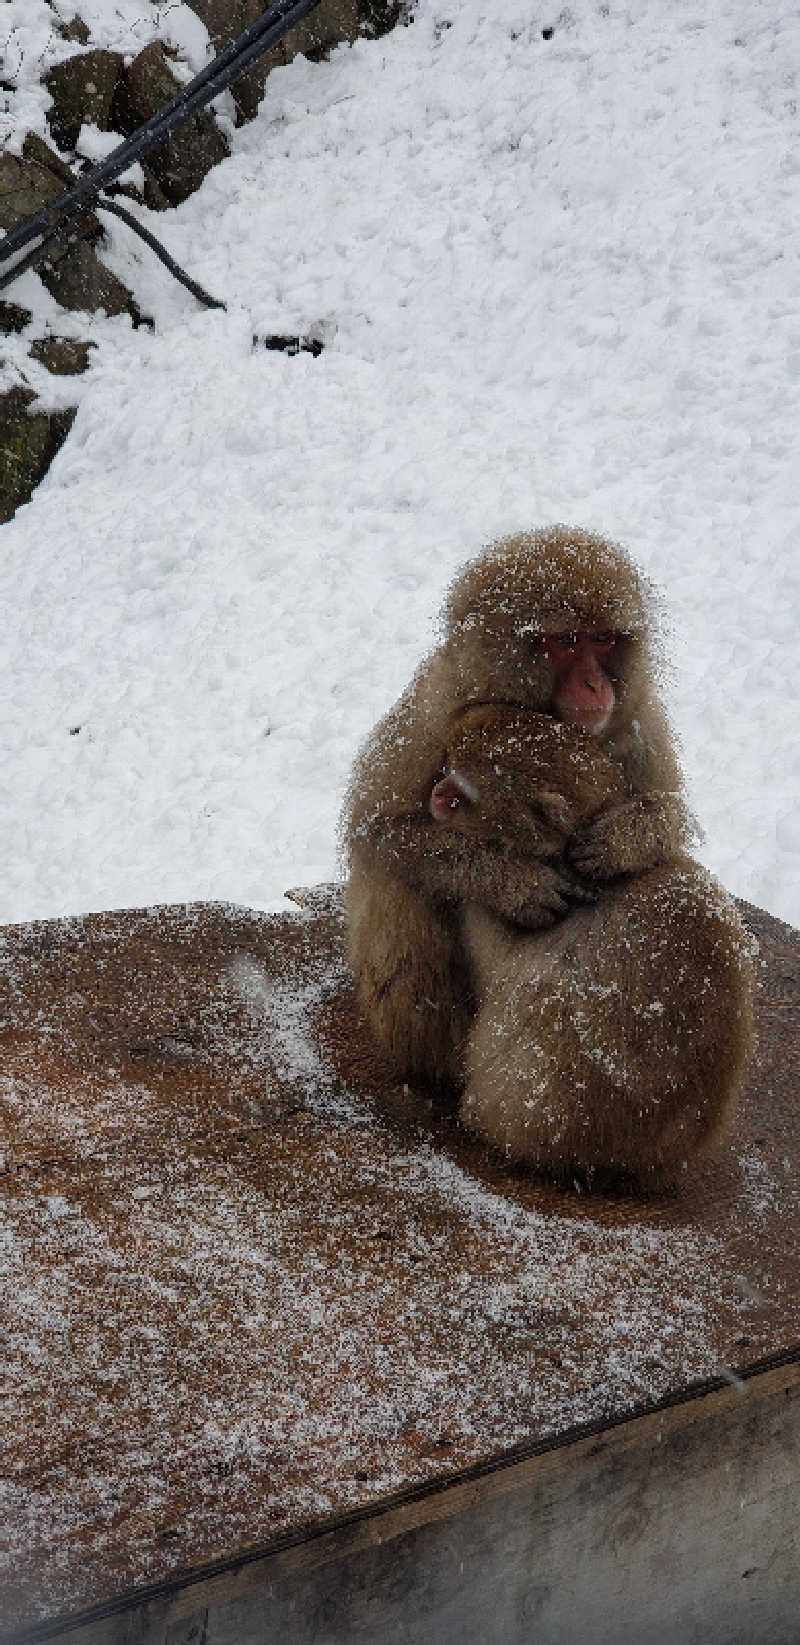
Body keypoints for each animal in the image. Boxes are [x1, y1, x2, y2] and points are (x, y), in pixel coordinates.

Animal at [342, 526, 694, 1092]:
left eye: (603, 639)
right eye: (565, 642)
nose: (595, 684)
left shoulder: (639, 716)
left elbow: (671, 812)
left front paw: (616, 844)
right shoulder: (435, 703)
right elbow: (377, 828)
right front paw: (516, 884)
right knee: (401, 884)